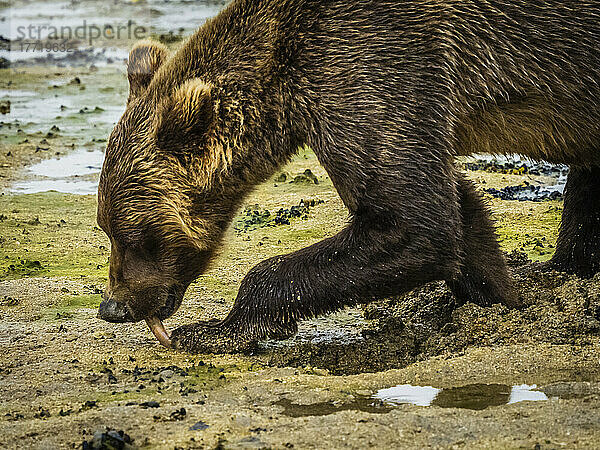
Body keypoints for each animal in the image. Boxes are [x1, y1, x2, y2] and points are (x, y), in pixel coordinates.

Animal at [96, 0, 600, 352]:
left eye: (137, 234)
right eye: (106, 228)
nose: (113, 306)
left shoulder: (374, 63)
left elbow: (409, 225)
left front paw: (214, 328)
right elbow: (456, 214)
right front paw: (498, 297)